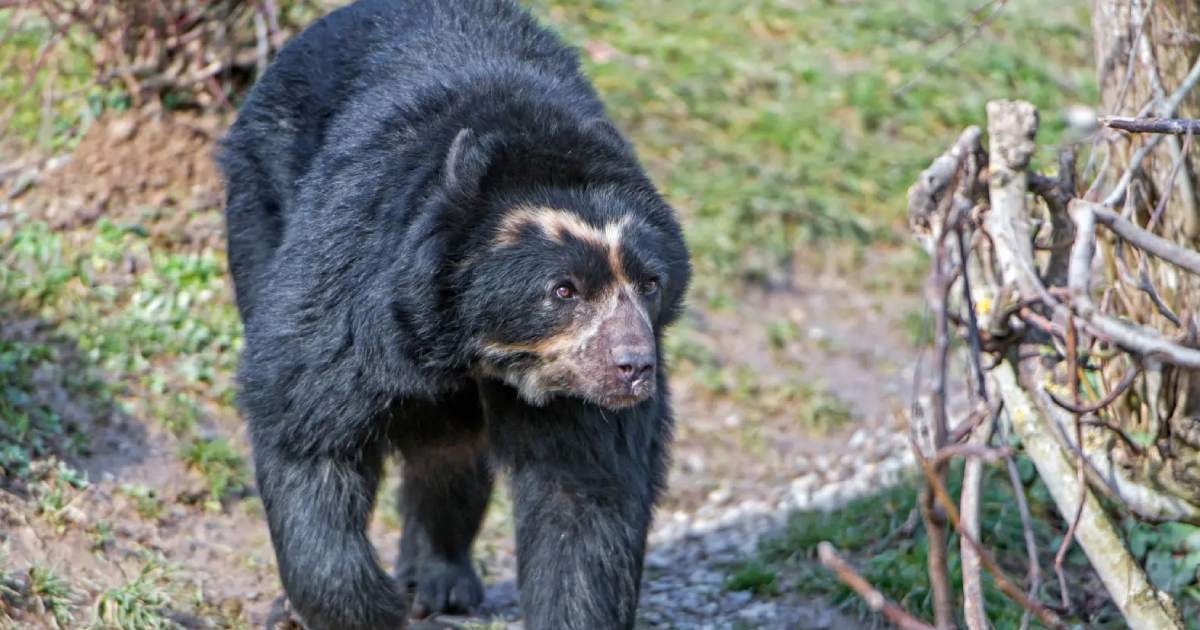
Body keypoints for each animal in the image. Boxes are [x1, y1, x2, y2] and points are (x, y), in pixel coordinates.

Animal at [219, 0, 691, 624]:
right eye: (562, 290)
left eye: (650, 284)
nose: (633, 367)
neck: (477, 343)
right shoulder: (351, 291)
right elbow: (308, 426)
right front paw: (363, 607)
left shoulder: (580, 398)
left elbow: (585, 494)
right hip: (259, 207)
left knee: (449, 451)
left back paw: (440, 582)